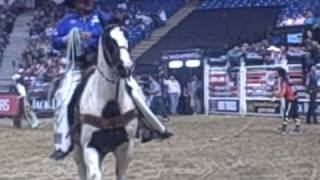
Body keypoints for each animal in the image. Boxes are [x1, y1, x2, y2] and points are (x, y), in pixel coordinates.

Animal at [75, 25, 140, 180]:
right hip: (78, 152)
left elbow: (120, 174)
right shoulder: (90, 146)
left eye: (127, 37)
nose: (126, 67)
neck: (110, 105)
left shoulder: (126, 147)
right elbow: (94, 175)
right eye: (109, 41)